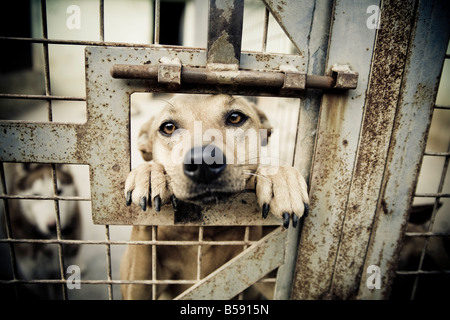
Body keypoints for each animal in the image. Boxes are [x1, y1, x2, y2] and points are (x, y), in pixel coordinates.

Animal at [119, 94, 310, 298]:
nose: (203, 162)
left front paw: (282, 179)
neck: (207, 232)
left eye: (235, 117)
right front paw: (149, 173)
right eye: (168, 127)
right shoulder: (139, 285)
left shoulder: (267, 274)